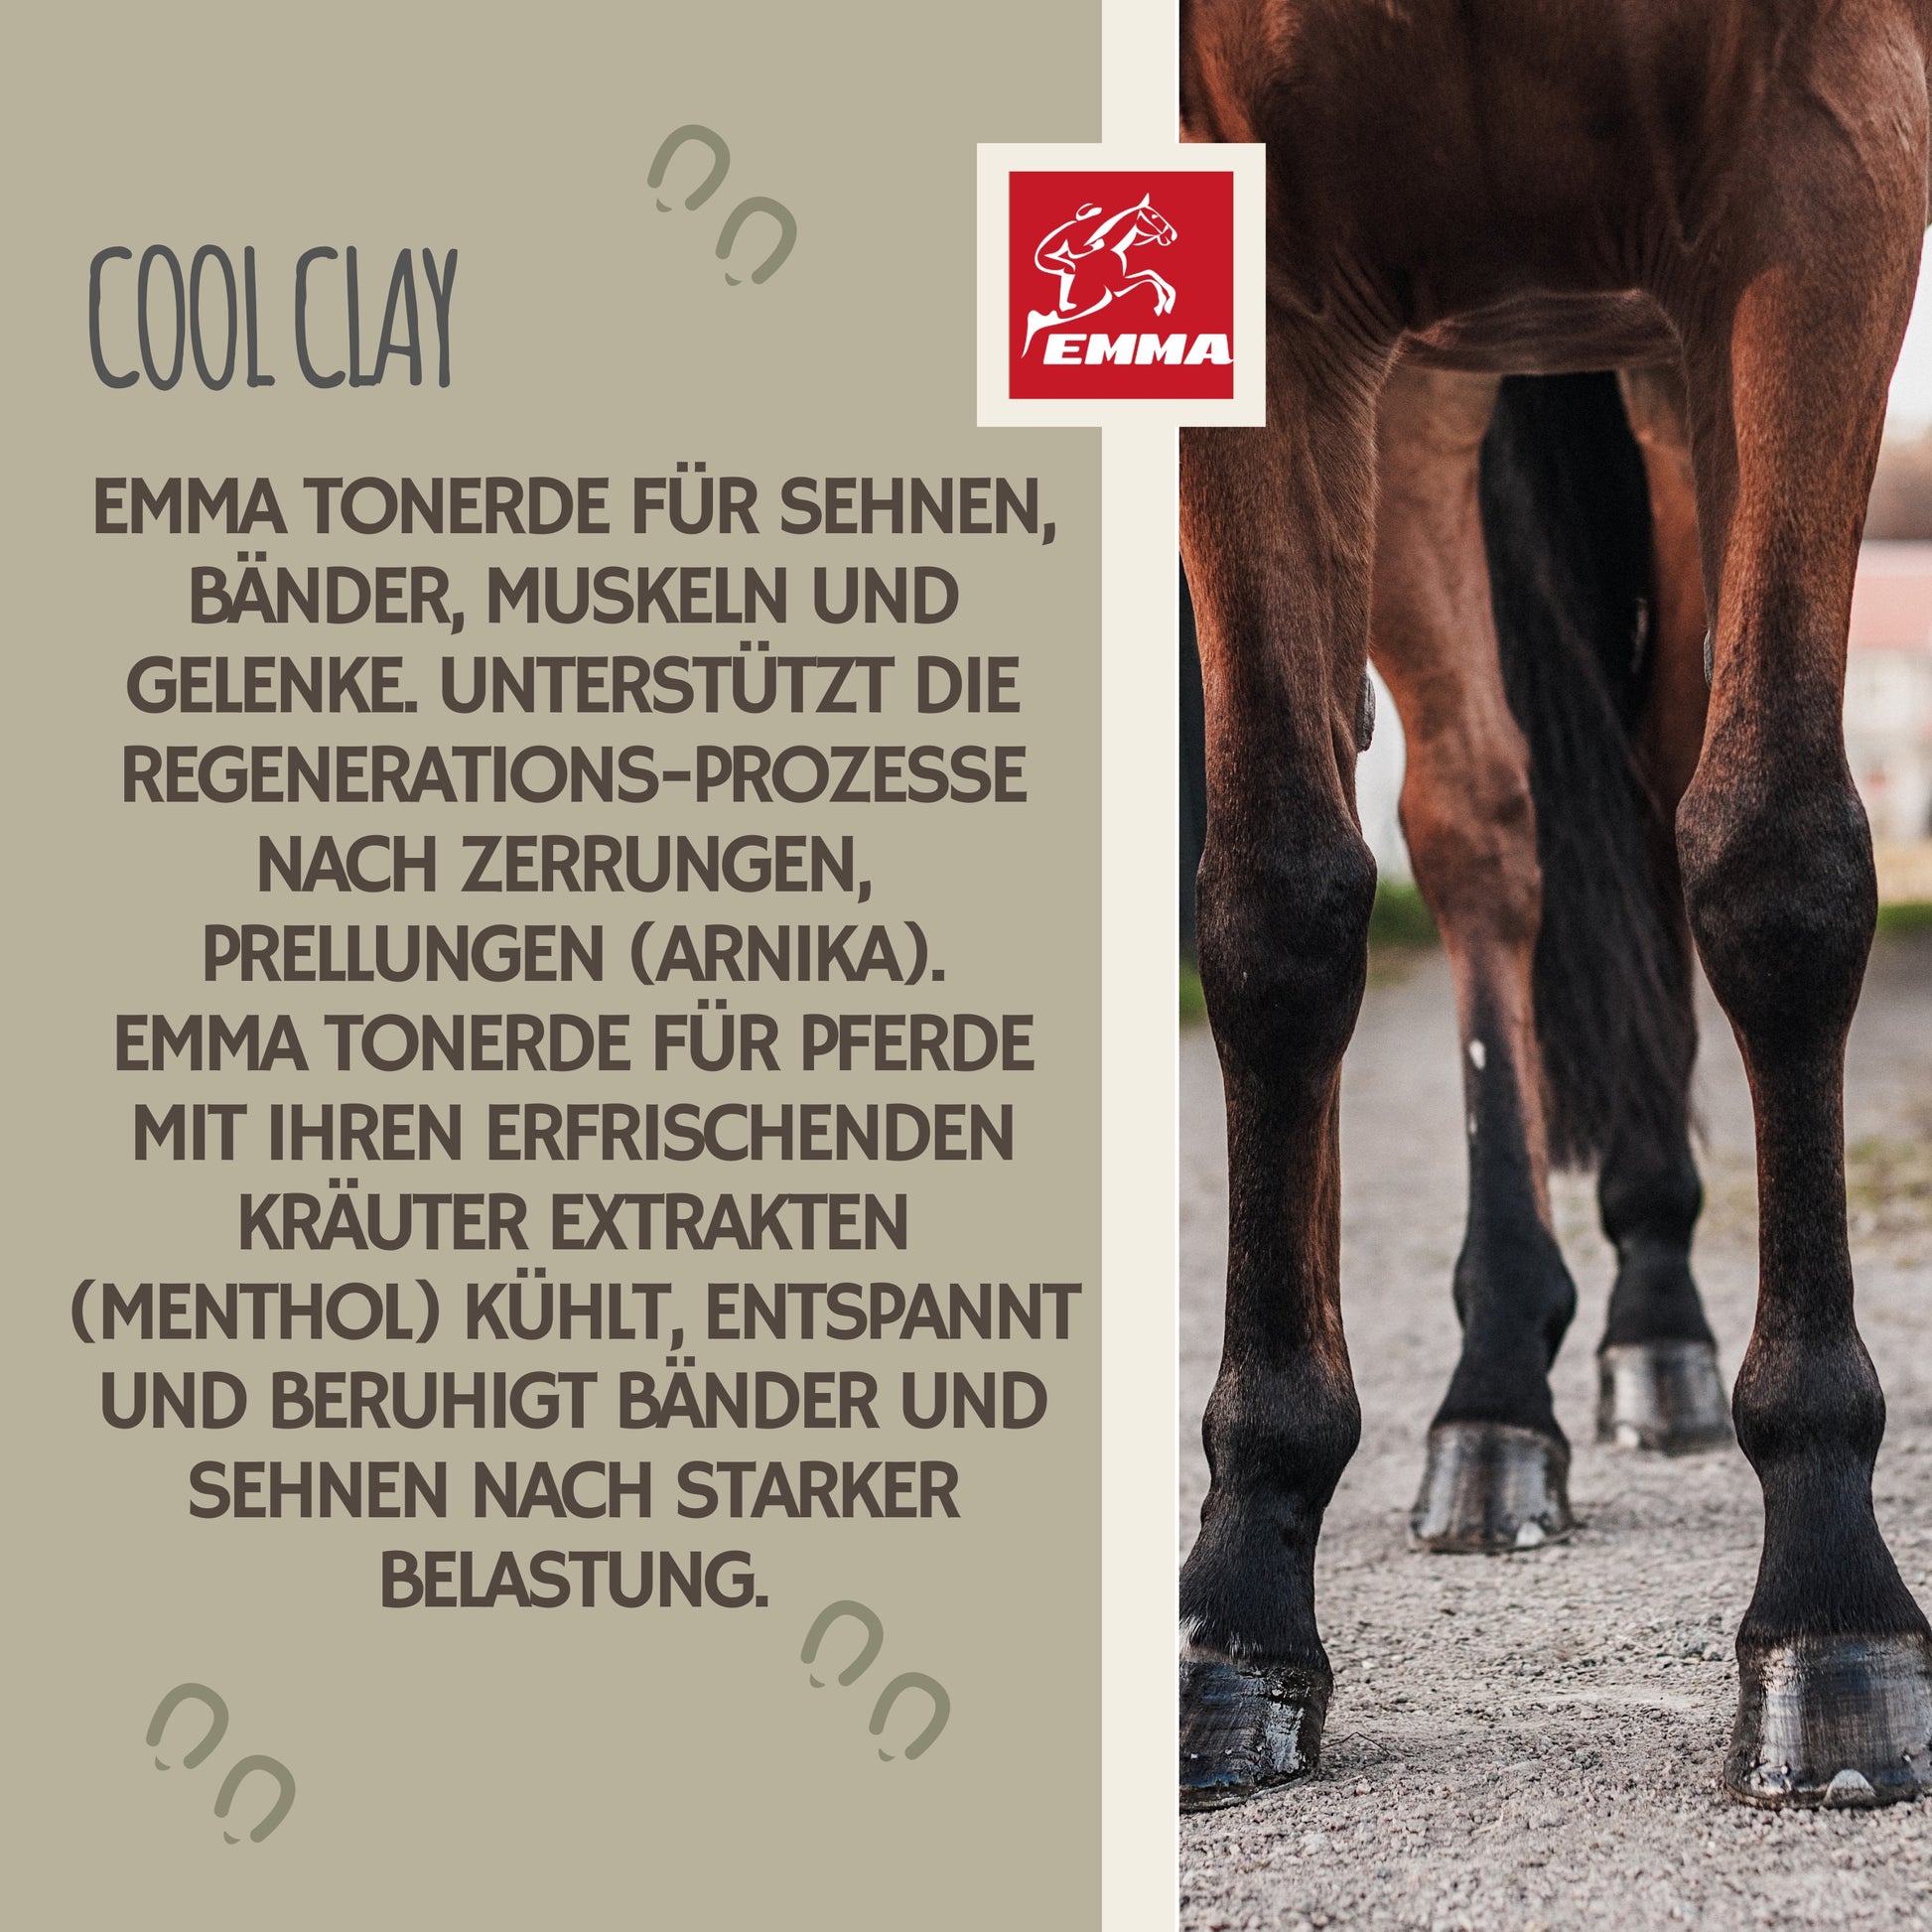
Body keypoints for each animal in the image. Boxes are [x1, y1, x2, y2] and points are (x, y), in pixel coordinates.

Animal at [1177, 0, 1932, 1813]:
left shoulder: (1825, 169)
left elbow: (1775, 861)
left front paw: (1829, 1604)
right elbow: (1276, 904)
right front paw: (1239, 1599)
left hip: (1654, 368)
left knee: (1661, 791)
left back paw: (1653, 1317)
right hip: (1430, 385)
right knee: (1476, 828)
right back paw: (1494, 1397)